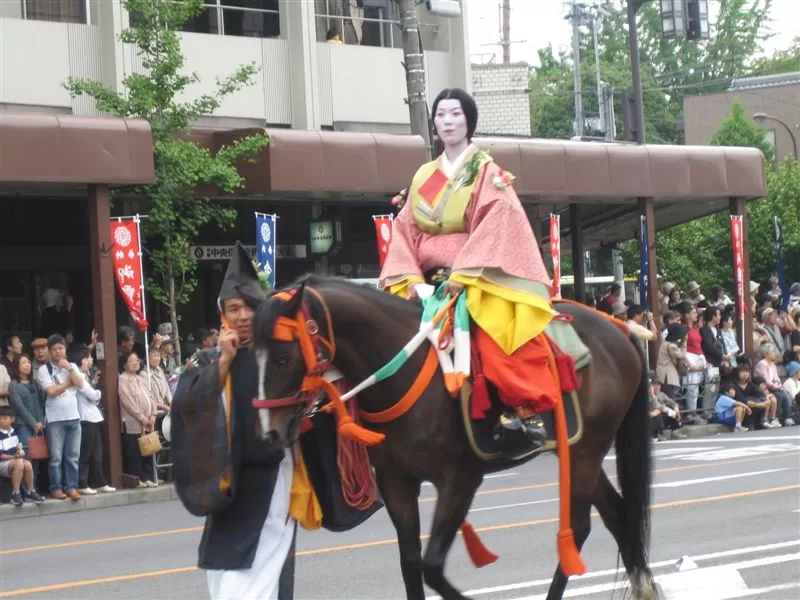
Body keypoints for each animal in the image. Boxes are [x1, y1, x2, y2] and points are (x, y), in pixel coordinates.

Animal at [252, 276, 656, 600]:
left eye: (284, 357)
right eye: (252, 354)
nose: (270, 433)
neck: (399, 373)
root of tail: (619, 329)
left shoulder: (459, 479)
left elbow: (431, 566)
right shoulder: (396, 482)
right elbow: (410, 564)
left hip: (588, 448)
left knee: (583, 525)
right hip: (577, 447)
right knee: (617, 514)